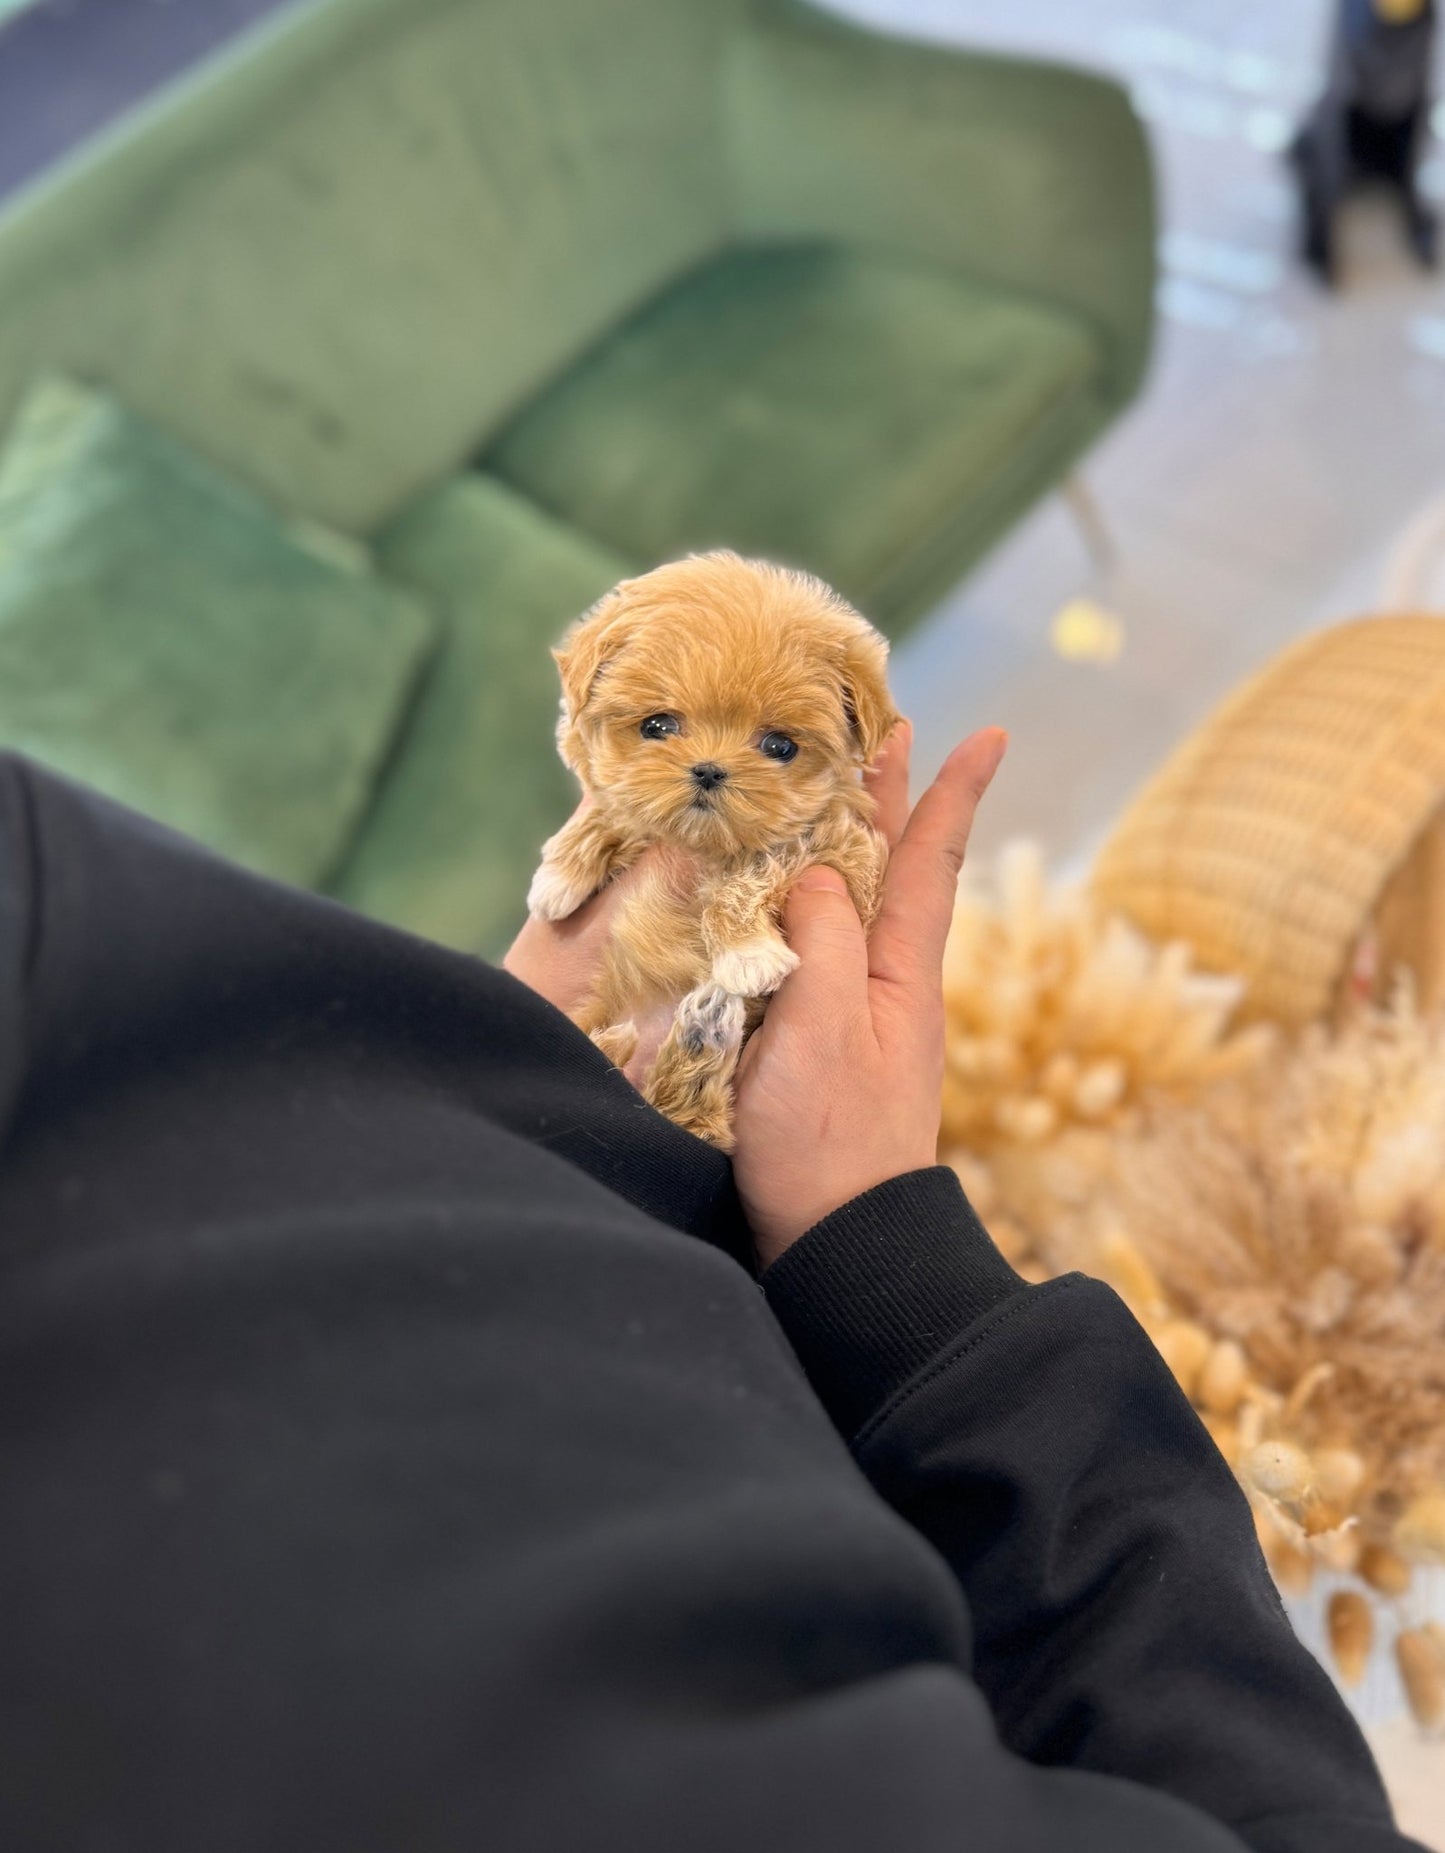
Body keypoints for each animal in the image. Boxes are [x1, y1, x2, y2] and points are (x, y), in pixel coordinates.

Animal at [526, 544, 896, 1141]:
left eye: (780, 746)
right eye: (657, 726)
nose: (708, 770)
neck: (703, 848)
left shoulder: (836, 852)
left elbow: (744, 878)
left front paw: (747, 954)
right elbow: (612, 810)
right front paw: (558, 879)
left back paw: (706, 1033)